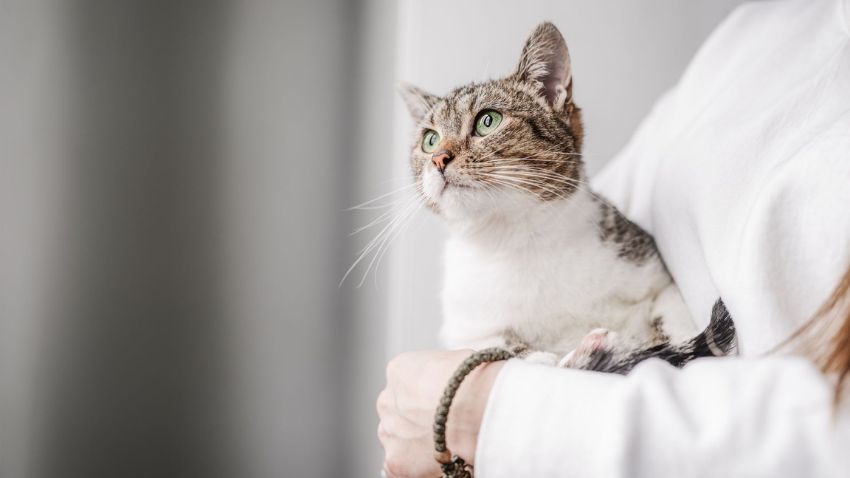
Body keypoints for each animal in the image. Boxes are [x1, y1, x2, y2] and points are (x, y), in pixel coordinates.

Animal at [400, 21, 732, 370]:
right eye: (430, 140)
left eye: (487, 121)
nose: (438, 159)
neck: (520, 238)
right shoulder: (468, 329)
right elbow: (508, 348)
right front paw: (560, 357)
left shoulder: (655, 276)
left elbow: (673, 322)